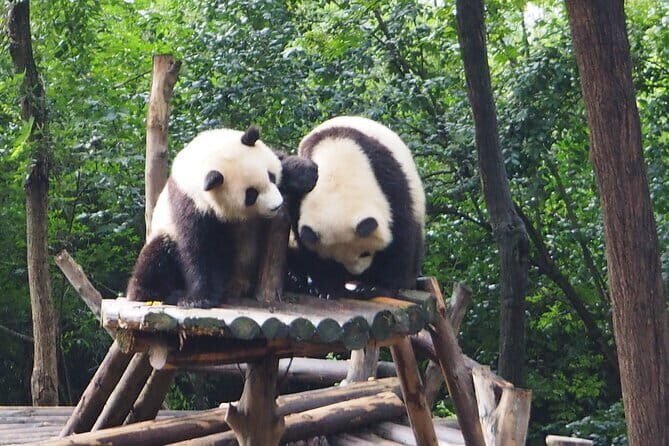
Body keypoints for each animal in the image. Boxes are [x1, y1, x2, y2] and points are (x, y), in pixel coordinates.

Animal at [126, 126, 317, 308]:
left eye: (270, 176)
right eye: (251, 194)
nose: (276, 205)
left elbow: (283, 161)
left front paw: (304, 173)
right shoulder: (191, 204)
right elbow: (201, 249)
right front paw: (198, 299)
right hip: (165, 235)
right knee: (156, 258)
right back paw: (162, 293)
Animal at [287, 116, 425, 298]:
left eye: (365, 252)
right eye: (336, 260)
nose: (358, 273)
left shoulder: (390, 181)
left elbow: (400, 237)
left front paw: (376, 286)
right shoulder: (301, 192)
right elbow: (310, 251)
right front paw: (328, 287)